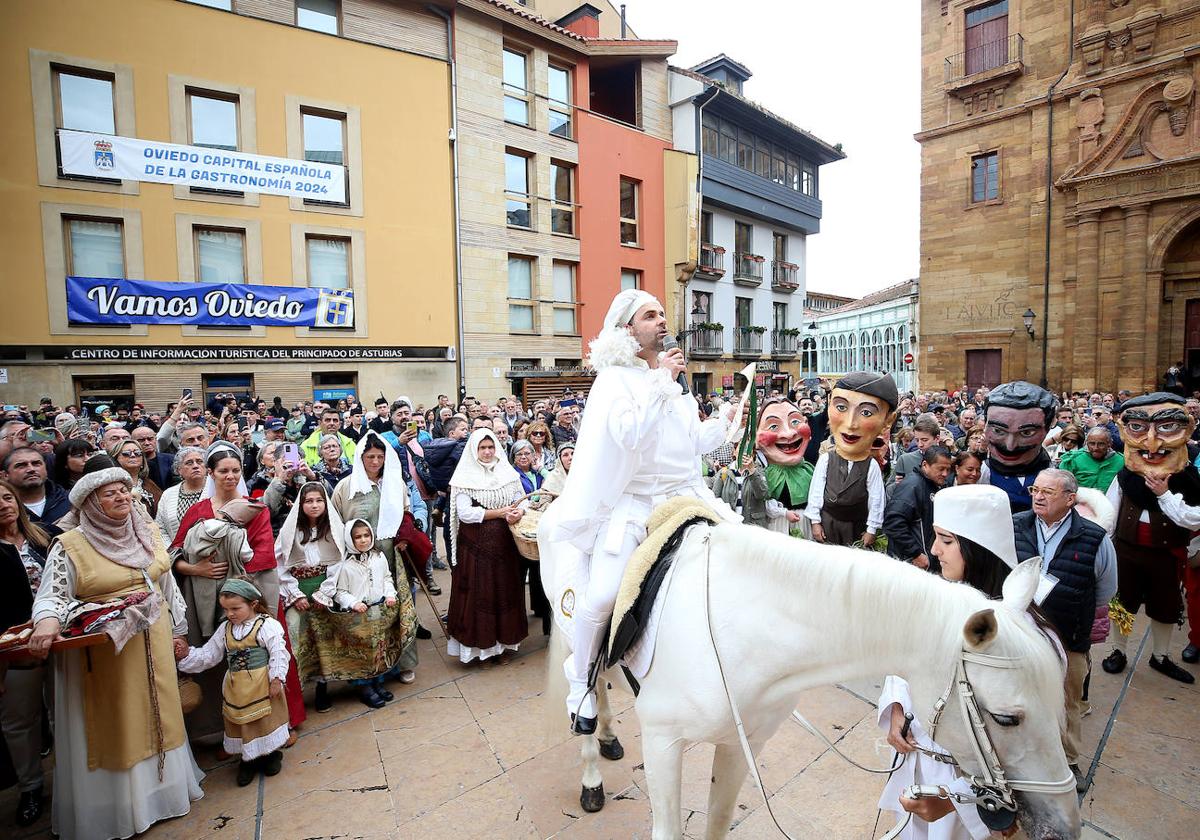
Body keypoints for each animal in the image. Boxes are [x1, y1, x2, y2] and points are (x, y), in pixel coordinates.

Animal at [542, 520, 1080, 835]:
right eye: (1007, 718)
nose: (1064, 825)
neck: (742, 628)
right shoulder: (663, 743)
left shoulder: (741, 743)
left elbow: (718, 819)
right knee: (582, 682)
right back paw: (592, 769)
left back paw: (609, 736)